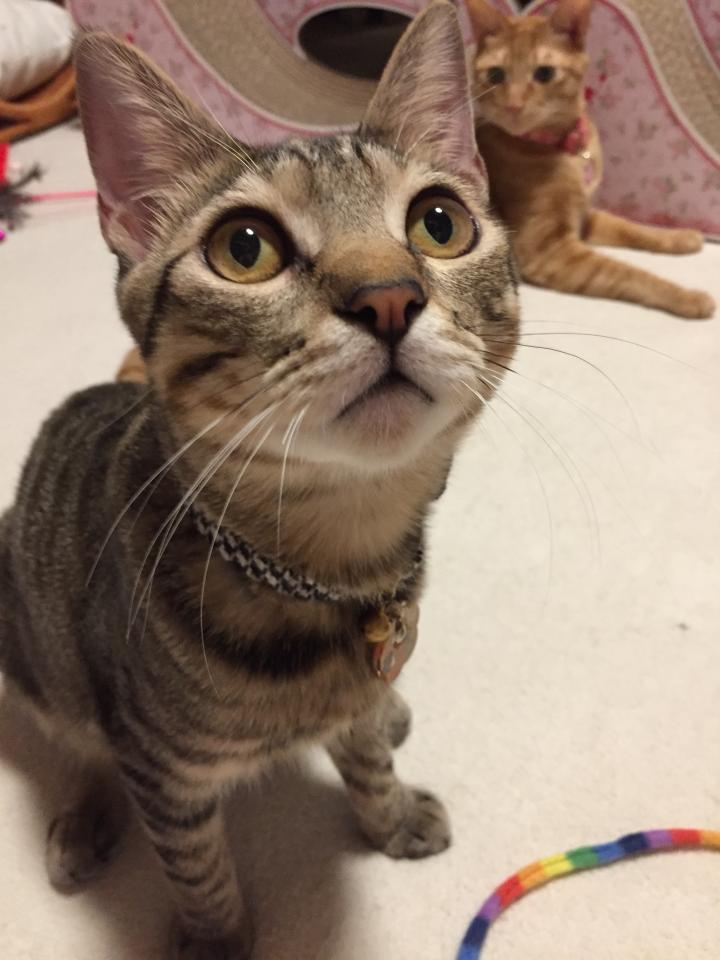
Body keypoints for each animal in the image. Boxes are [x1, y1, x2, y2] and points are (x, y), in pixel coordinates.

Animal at [0, 4, 519, 958]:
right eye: (244, 248)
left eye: (439, 223)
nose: (389, 297)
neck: (332, 565)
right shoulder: (163, 773)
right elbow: (197, 865)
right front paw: (216, 938)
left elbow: (368, 762)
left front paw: (389, 816)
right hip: (38, 649)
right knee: (79, 739)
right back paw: (85, 817)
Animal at [467, 0, 716, 319]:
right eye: (496, 75)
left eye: (544, 73)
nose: (514, 105)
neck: (563, 150)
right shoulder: (548, 252)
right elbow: (629, 273)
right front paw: (687, 296)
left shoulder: (585, 217)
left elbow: (633, 228)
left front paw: (680, 237)